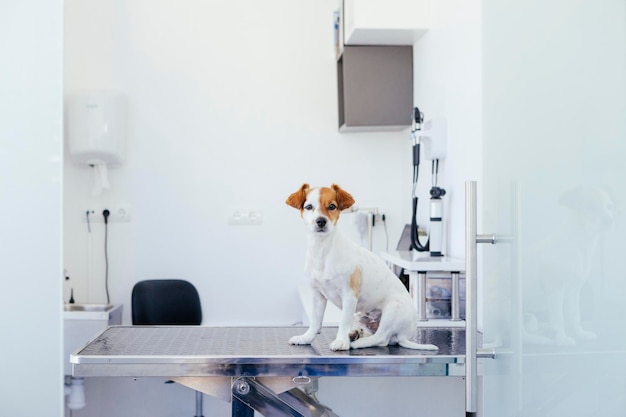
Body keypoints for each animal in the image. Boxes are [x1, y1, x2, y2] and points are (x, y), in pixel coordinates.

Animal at [286, 184, 436, 350]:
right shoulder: (317, 296)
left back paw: (357, 342)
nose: (321, 221)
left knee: (381, 338)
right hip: (360, 315)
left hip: (392, 310)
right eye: (309, 207)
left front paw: (341, 342)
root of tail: (404, 335)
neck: (322, 250)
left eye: (332, 206)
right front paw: (306, 338)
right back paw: (355, 334)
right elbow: (315, 322)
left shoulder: (349, 295)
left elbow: (343, 322)